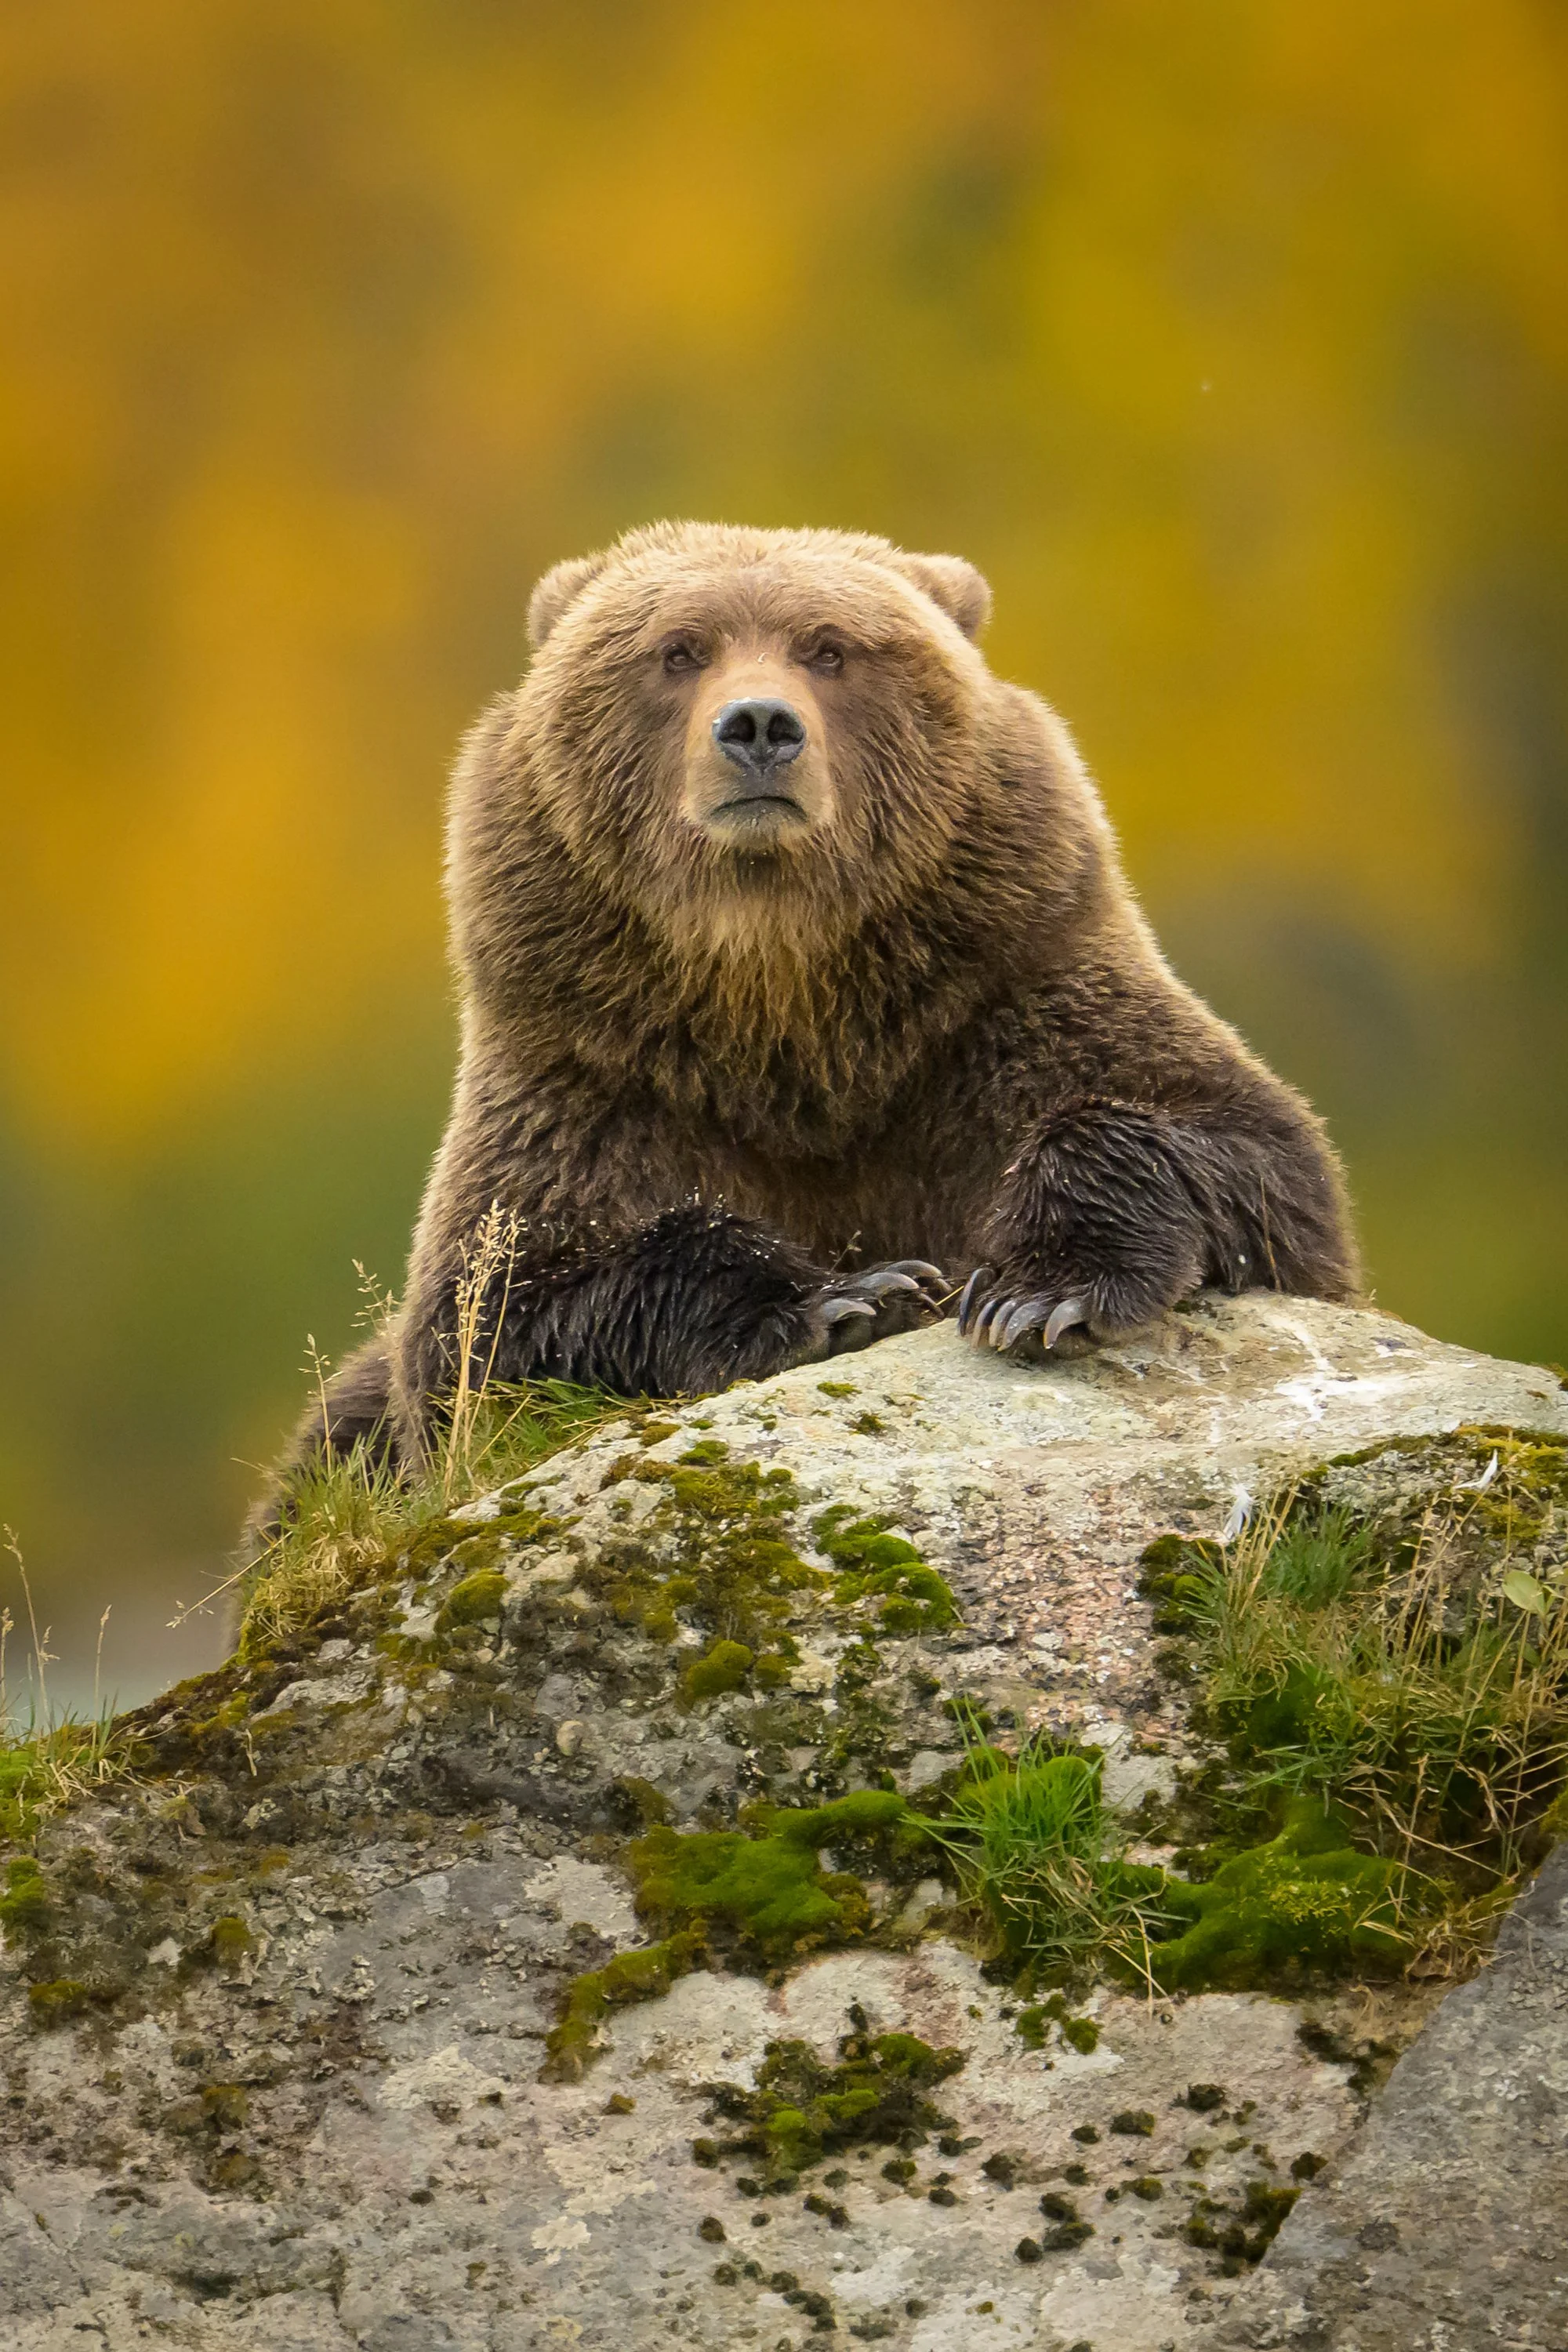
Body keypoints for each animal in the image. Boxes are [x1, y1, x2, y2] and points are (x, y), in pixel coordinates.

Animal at [277, 519, 1357, 1484]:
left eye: (829, 648)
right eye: (679, 649)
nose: (758, 725)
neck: (791, 1005)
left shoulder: (997, 1007)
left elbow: (1249, 1161)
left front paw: (1033, 1291)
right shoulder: (598, 1069)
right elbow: (491, 1322)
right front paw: (850, 1296)